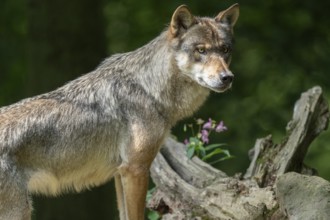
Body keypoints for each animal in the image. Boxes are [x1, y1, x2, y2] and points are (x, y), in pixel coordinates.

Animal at [0, 3, 238, 220]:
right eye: (201, 50)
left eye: (225, 50)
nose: (227, 78)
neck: (150, 89)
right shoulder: (135, 169)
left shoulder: (119, 173)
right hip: (20, 211)